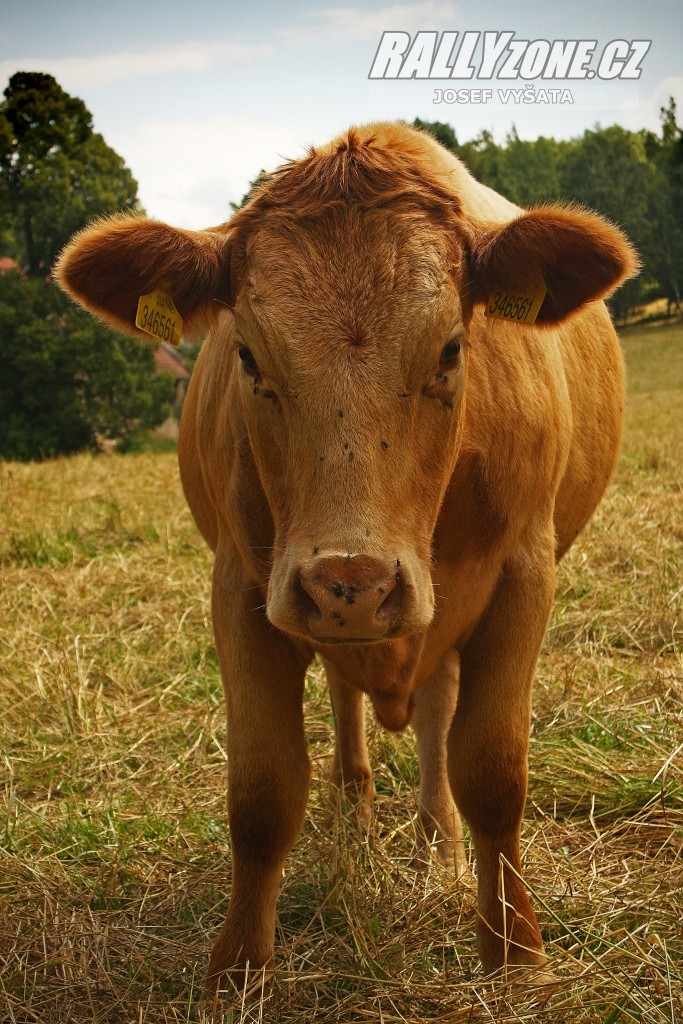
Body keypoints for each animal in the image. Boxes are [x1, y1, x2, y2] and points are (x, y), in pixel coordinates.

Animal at [56, 121, 638, 991]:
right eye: (249, 356)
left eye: (450, 350)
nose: (352, 582)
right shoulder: (244, 589)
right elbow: (262, 791)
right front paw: (237, 968)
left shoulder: (521, 578)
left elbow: (490, 770)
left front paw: (512, 949)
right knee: (347, 707)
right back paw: (357, 824)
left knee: (434, 720)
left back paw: (436, 845)